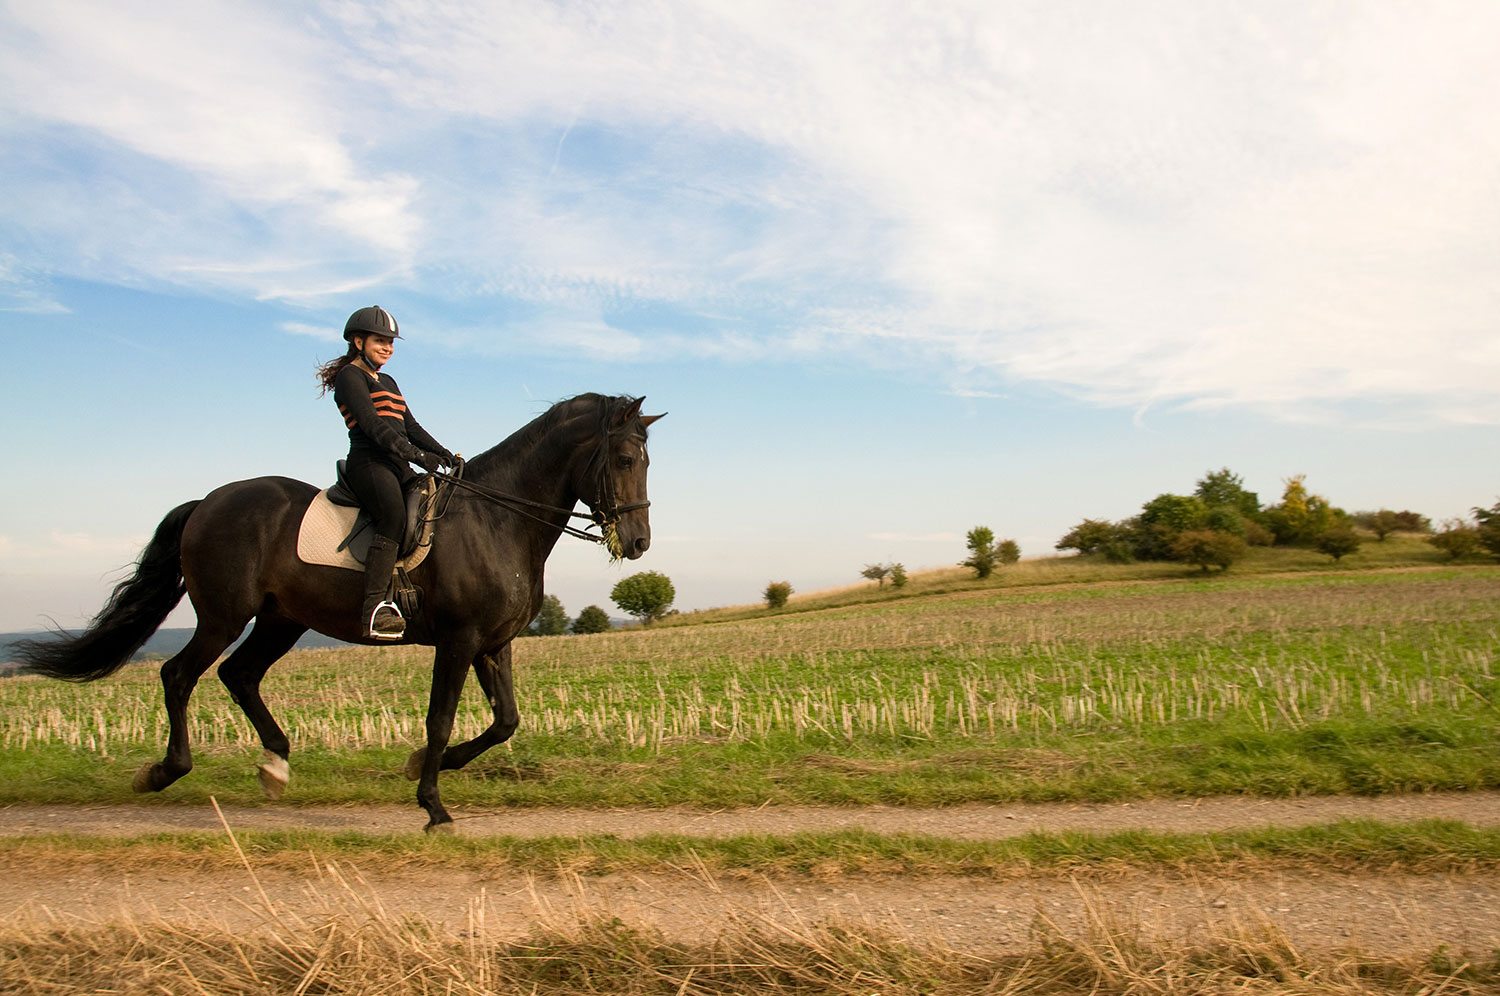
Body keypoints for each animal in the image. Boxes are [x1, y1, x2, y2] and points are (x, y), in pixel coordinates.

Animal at [16, 393, 663, 828]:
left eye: (646, 461)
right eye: (624, 458)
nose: (637, 542)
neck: (497, 519)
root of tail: (206, 503)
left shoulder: (492, 643)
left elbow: (505, 721)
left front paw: (420, 769)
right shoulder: (458, 641)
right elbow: (440, 719)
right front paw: (433, 806)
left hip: (281, 620)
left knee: (239, 674)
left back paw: (274, 765)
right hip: (224, 616)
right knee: (180, 674)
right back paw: (164, 771)